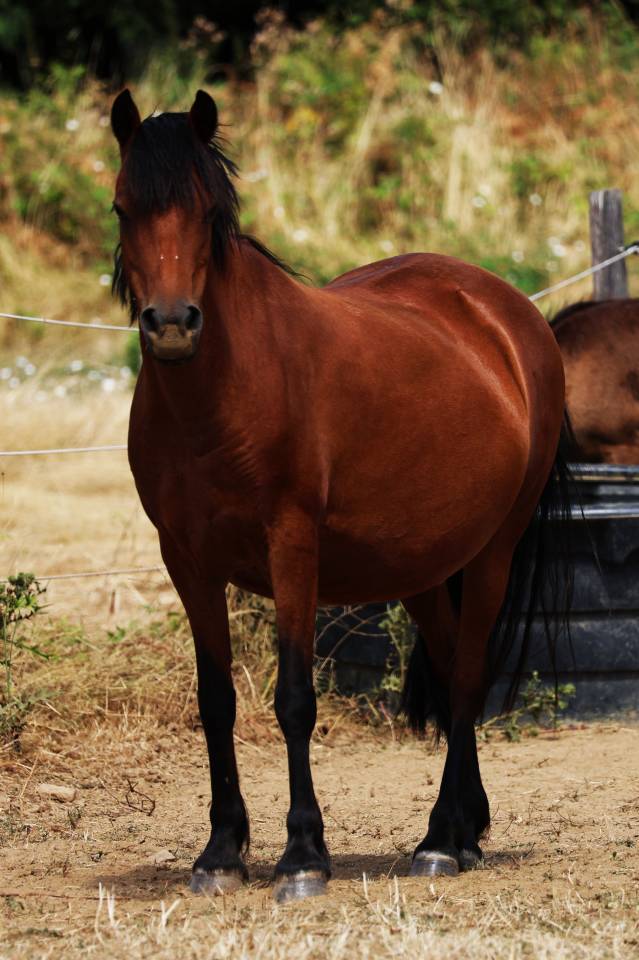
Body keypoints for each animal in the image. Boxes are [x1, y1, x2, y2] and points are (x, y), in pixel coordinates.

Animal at [110, 88, 572, 902]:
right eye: (121, 207)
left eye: (207, 212)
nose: (170, 326)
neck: (226, 392)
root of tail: (506, 313)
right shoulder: (186, 561)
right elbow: (216, 702)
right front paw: (220, 852)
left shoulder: (292, 544)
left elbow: (295, 699)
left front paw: (302, 856)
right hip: (422, 568)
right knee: (451, 669)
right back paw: (464, 831)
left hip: (494, 551)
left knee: (468, 679)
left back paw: (437, 842)